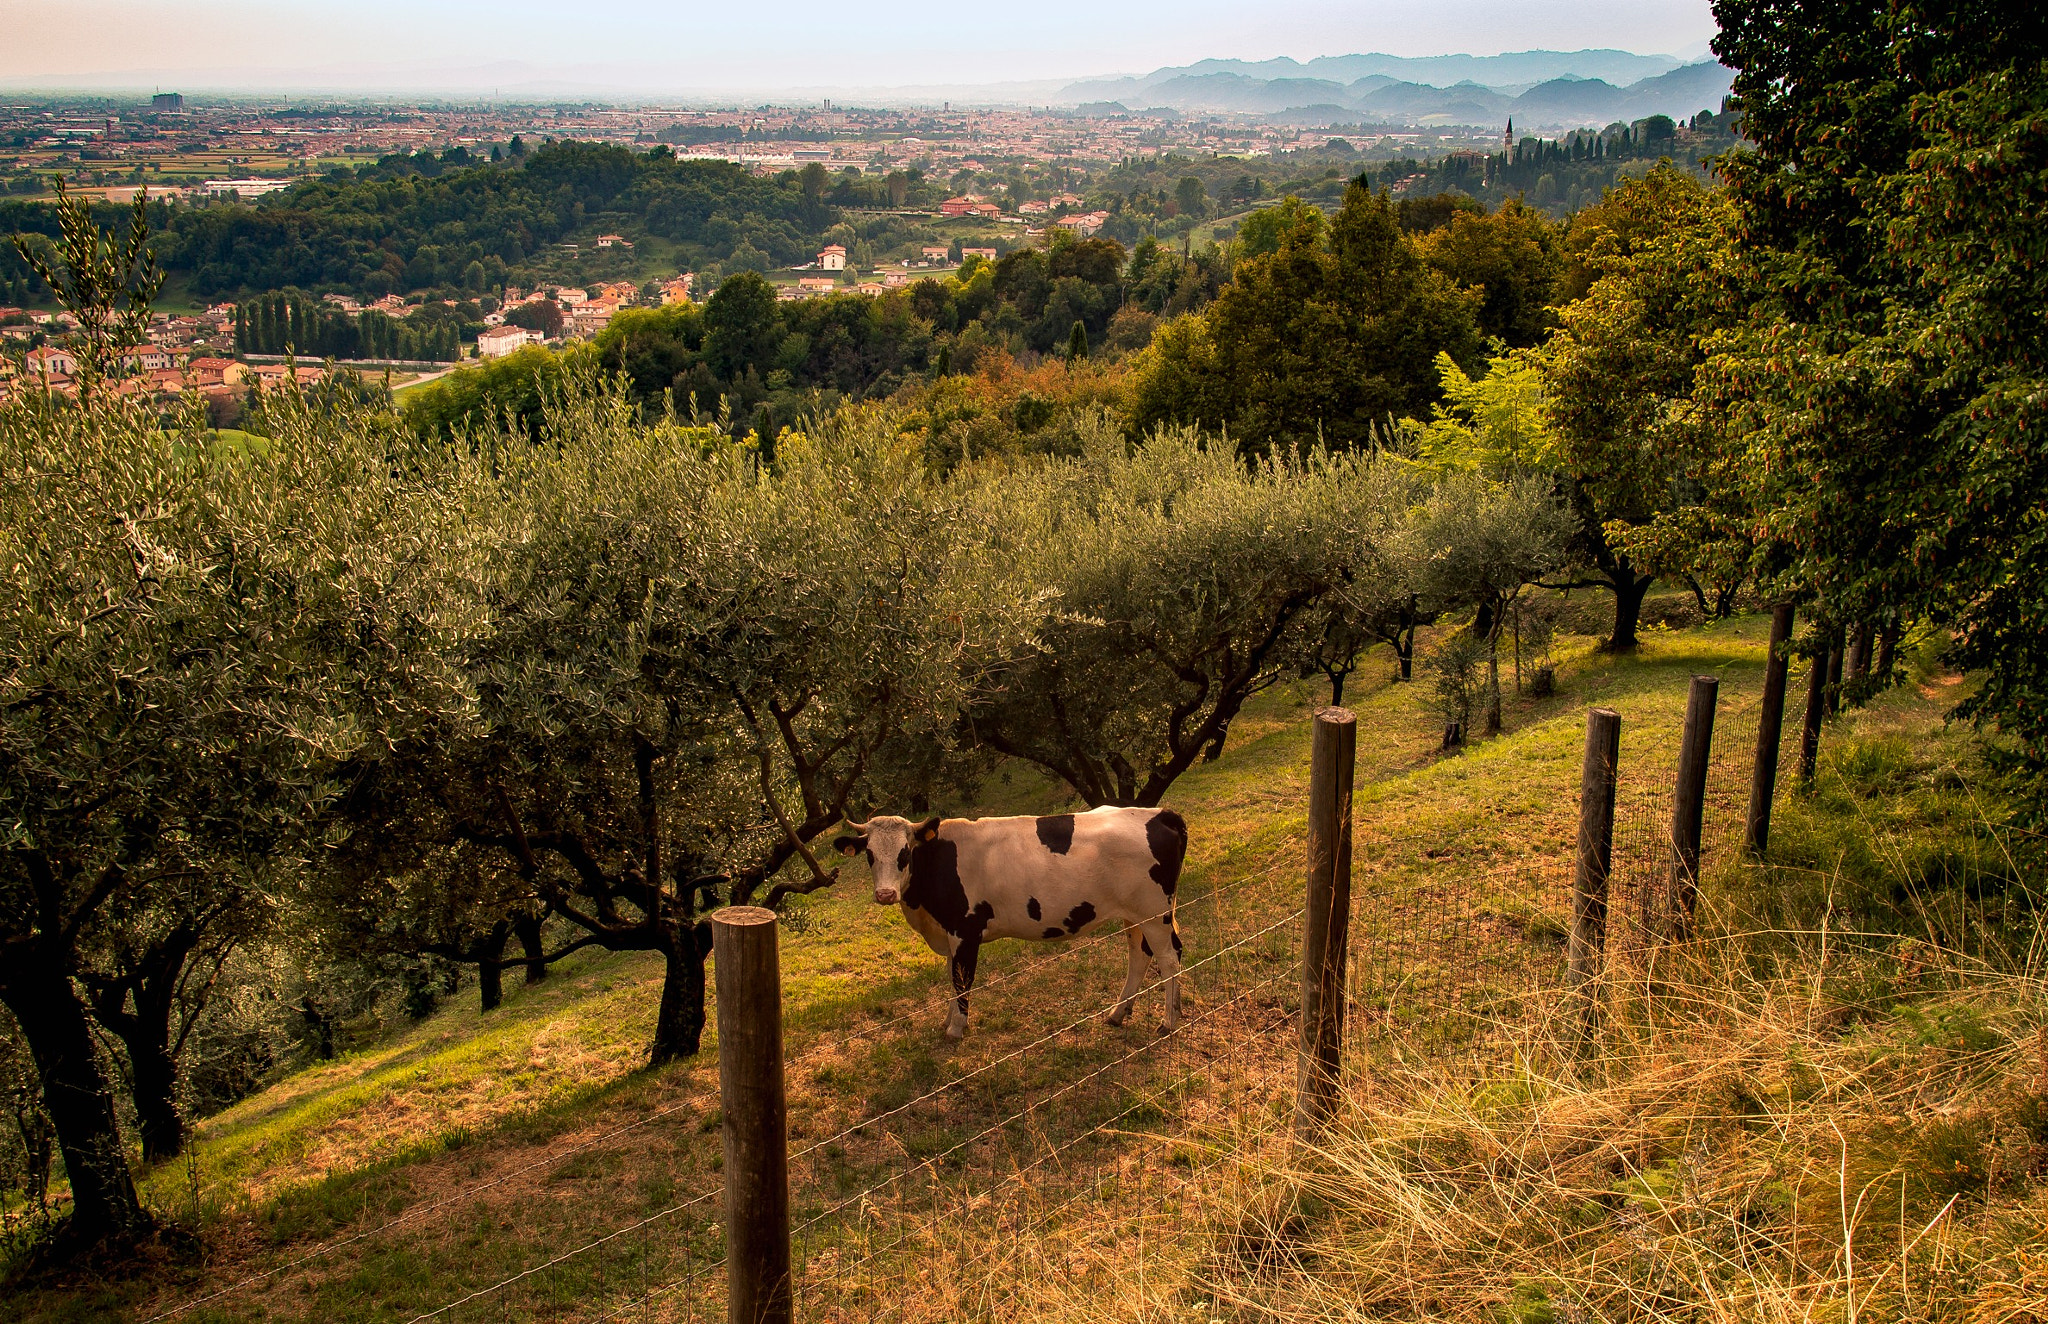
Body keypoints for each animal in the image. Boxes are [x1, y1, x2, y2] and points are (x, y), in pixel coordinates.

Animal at [827, 803, 1187, 1041]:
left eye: (905, 853)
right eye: (870, 855)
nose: (885, 894)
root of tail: (1158, 813)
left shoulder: (965, 930)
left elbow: (961, 980)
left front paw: (956, 1029)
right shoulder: (949, 934)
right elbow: (951, 979)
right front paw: (948, 1021)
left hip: (1155, 913)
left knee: (1169, 958)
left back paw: (1169, 1022)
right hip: (1134, 915)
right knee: (1140, 956)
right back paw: (1118, 1014)